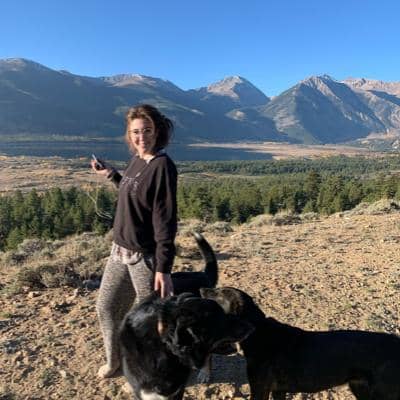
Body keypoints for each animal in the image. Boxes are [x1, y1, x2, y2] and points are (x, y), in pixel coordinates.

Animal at [201, 287, 400, 400]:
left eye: (218, 293)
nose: (202, 288)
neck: (258, 332)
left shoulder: (259, 388)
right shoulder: (278, 391)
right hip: (362, 389)